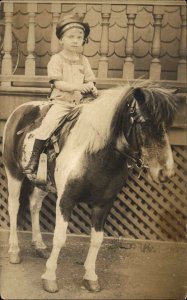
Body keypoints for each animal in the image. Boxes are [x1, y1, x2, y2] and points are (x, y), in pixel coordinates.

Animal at [3, 84, 178, 292]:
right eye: (143, 122)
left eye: (167, 125)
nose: (166, 172)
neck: (93, 153)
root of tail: (19, 110)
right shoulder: (66, 200)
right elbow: (59, 237)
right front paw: (50, 277)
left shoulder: (103, 204)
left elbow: (97, 239)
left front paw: (90, 277)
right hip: (13, 173)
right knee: (14, 208)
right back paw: (14, 251)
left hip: (42, 183)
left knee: (34, 206)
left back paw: (39, 245)